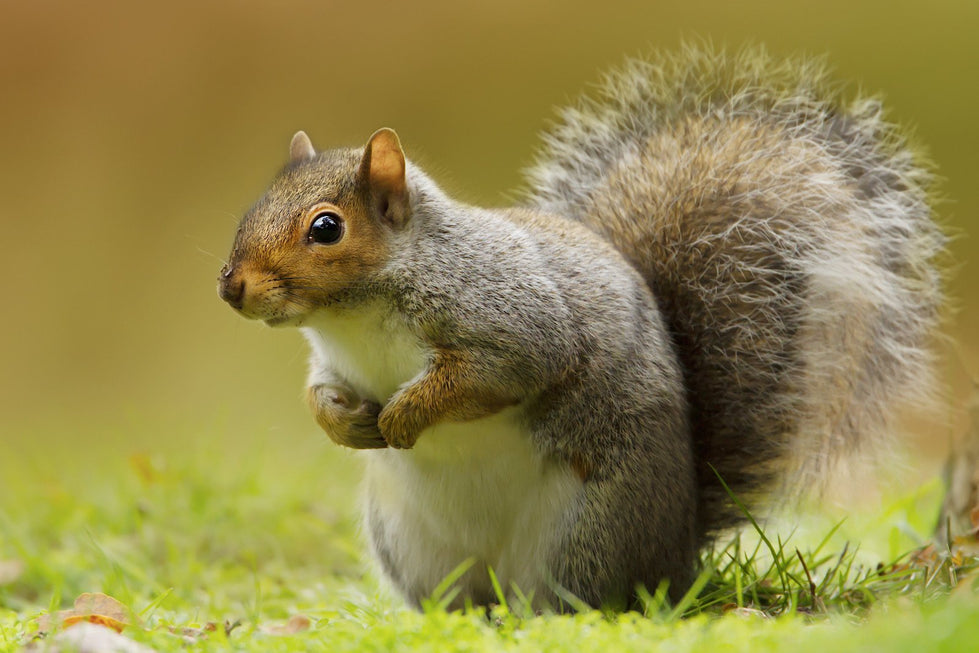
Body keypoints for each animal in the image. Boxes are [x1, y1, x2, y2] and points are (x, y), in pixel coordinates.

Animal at [218, 47, 944, 612]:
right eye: (253, 204)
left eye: (326, 227)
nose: (231, 286)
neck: (355, 316)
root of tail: (677, 550)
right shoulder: (335, 361)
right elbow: (320, 391)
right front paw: (346, 424)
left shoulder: (510, 315)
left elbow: (499, 371)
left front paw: (403, 414)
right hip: (410, 544)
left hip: (586, 532)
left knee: (582, 600)